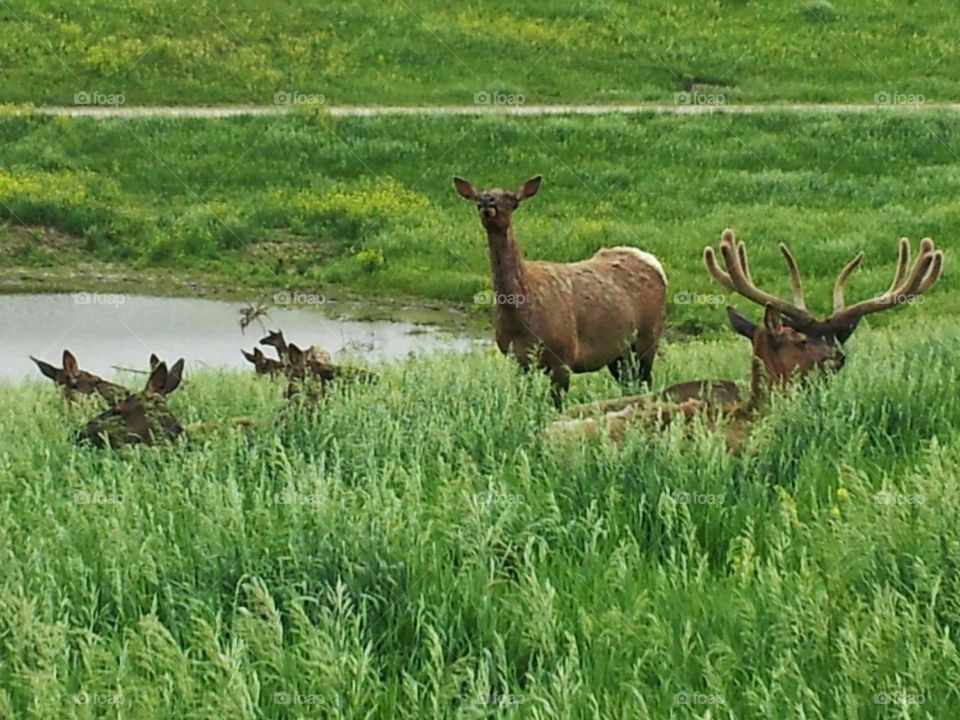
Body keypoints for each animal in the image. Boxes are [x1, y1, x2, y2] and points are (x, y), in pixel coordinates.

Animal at [453, 175, 667, 406]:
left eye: (512, 199)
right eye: (477, 198)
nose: (486, 200)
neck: (520, 320)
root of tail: (654, 263)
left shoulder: (563, 356)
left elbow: (557, 404)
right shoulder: (517, 360)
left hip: (648, 338)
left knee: (646, 381)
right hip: (619, 353)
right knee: (629, 384)